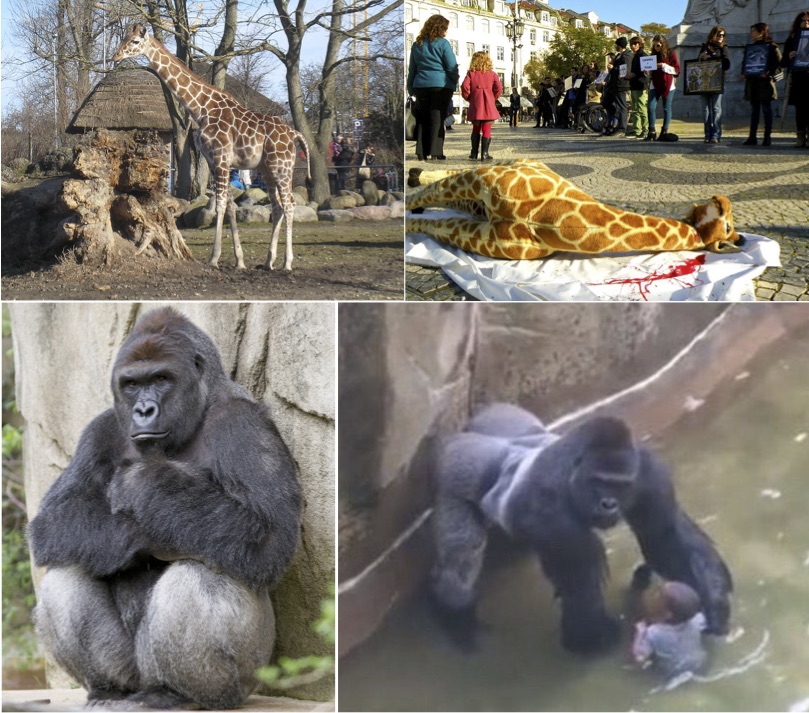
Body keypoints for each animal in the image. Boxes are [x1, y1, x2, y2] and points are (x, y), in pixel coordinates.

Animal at [27, 308, 304, 708]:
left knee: (200, 573)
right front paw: (126, 530)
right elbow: (54, 521)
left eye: (161, 379)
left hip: (250, 675)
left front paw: (145, 483)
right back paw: (109, 689)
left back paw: (180, 694)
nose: (143, 409)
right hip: (132, 671)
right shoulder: (100, 429)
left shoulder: (243, 423)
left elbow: (269, 535)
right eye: (131, 384)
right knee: (66, 568)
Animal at [113, 23, 312, 272]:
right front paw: (239, 260)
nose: (115, 56)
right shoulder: (213, 160)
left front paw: (214, 257)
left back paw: (287, 262)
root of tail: (294, 133)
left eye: (135, 42)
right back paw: (268, 261)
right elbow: (230, 206)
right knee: (277, 206)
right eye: (123, 37)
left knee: (289, 204)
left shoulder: (220, 157)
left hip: (282, 166)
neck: (201, 108)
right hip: (267, 169)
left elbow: (220, 205)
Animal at [408, 160, 740, 260]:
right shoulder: (483, 182)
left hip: (480, 200)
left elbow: (436, 224)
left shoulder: (486, 235)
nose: (721, 198)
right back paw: (415, 175)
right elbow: (426, 199)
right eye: (728, 224)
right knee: (446, 176)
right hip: (493, 170)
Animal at [430, 400, 732, 652]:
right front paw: (591, 640)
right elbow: (580, 578)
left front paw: (715, 603)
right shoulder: (546, 500)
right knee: (461, 559)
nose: (609, 504)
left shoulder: (648, 474)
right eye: (599, 481)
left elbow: (665, 538)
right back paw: (455, 611)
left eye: (620, 484)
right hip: (456, 465)